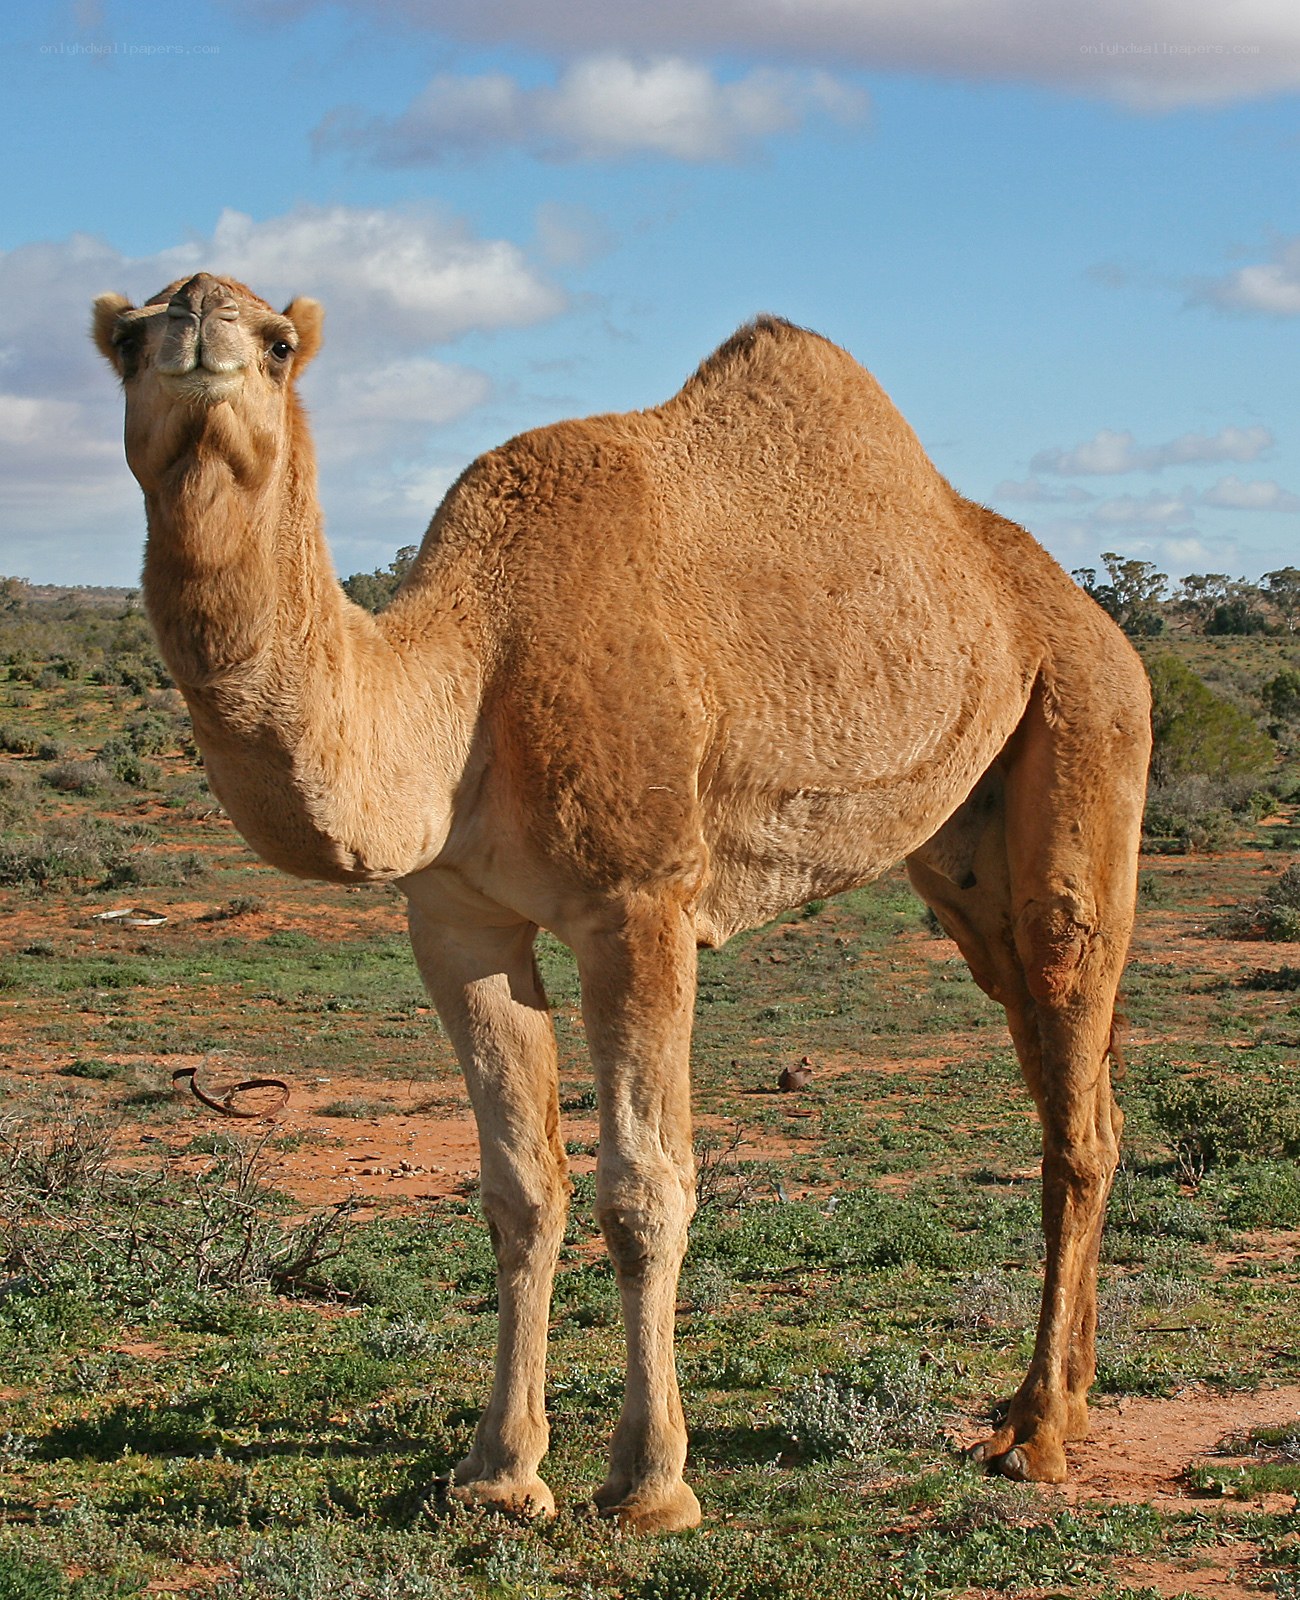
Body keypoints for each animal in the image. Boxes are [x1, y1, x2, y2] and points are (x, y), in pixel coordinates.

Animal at [93, 272, 1151, 1532]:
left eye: (278, 343)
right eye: (127, 339)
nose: (199, 324)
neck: (469, 674)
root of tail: (1087, 614)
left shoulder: (640, 903)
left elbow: (645, 1188)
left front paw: (649, 1483)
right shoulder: (456, 920)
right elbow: (519, 1186)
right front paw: (498, 1475)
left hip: (1086, 729)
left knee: (1073, 1071)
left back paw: (1037, 1434)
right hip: (965, 850)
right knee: (1065, 1082)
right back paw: (1060, 1400)